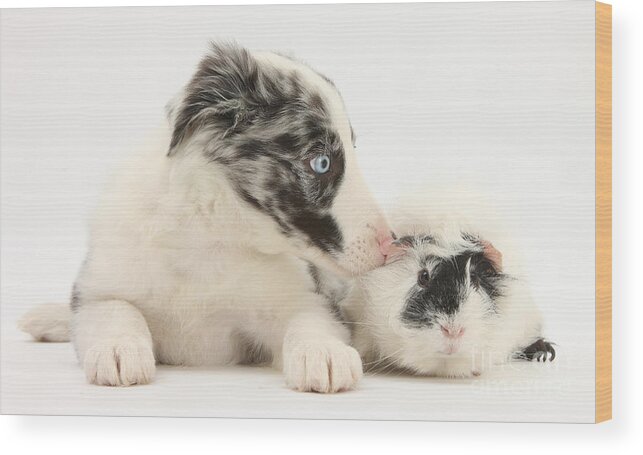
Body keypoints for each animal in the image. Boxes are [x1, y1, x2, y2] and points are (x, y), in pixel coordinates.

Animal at [20, 41, 392, 394]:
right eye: (322, 163)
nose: (391, 244)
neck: (208, 239)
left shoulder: (304, 299)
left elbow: (310, 321)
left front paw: (324, 354)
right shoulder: (100, 289)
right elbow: (116, 310)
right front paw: (118, 350)